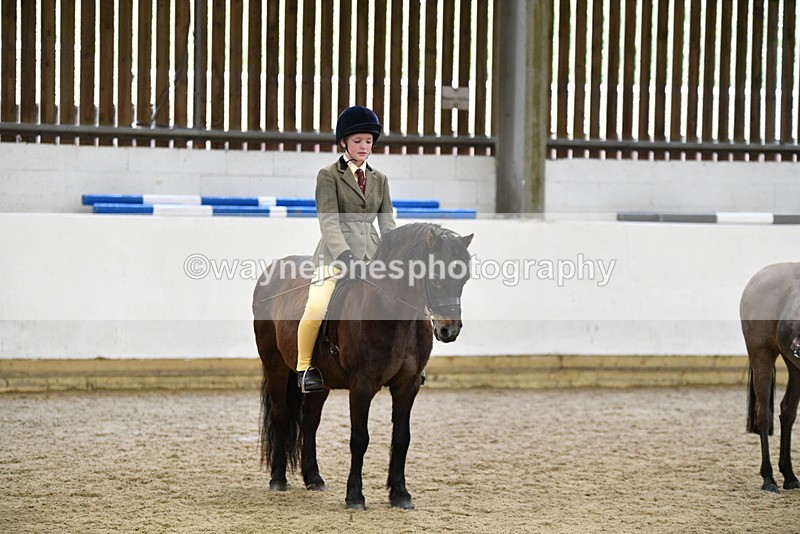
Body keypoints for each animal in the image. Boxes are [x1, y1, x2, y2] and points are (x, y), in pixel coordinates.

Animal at [252, 222, 473, 510]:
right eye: (435, 277)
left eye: (463, 279)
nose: (449, 331)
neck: (392, 313)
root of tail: (271, 272)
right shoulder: (362, 386)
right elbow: (359, 439)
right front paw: (355, 496)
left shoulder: (408, 385)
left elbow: (401, 437)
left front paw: (400, 494)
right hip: (275, 365)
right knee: (282, 414)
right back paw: (278, 479)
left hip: (321, 382)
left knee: (310, 421)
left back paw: (314, 478)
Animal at [740, 262, 800, 493]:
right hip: (762, 355)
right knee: (764, 414)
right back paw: (769, 478)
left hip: (794, 366)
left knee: (787, 412)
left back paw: (790, 476)